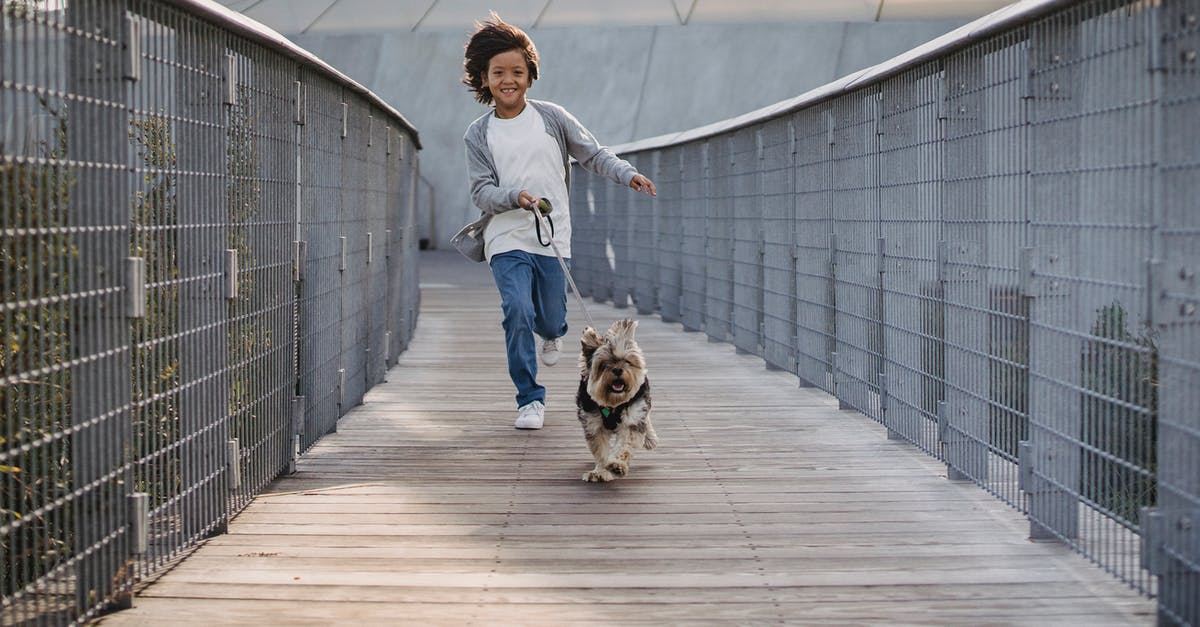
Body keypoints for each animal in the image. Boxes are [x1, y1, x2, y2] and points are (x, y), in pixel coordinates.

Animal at [578, 319, 662, 480]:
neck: (613, 404)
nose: (617, 370)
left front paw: (617, 465)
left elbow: (625, 443)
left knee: (646, 419)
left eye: (627, 361)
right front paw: (600, 471)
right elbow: (601, 450)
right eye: (603, 364)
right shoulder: (594, 424)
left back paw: (651, 439)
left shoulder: (632, 417)